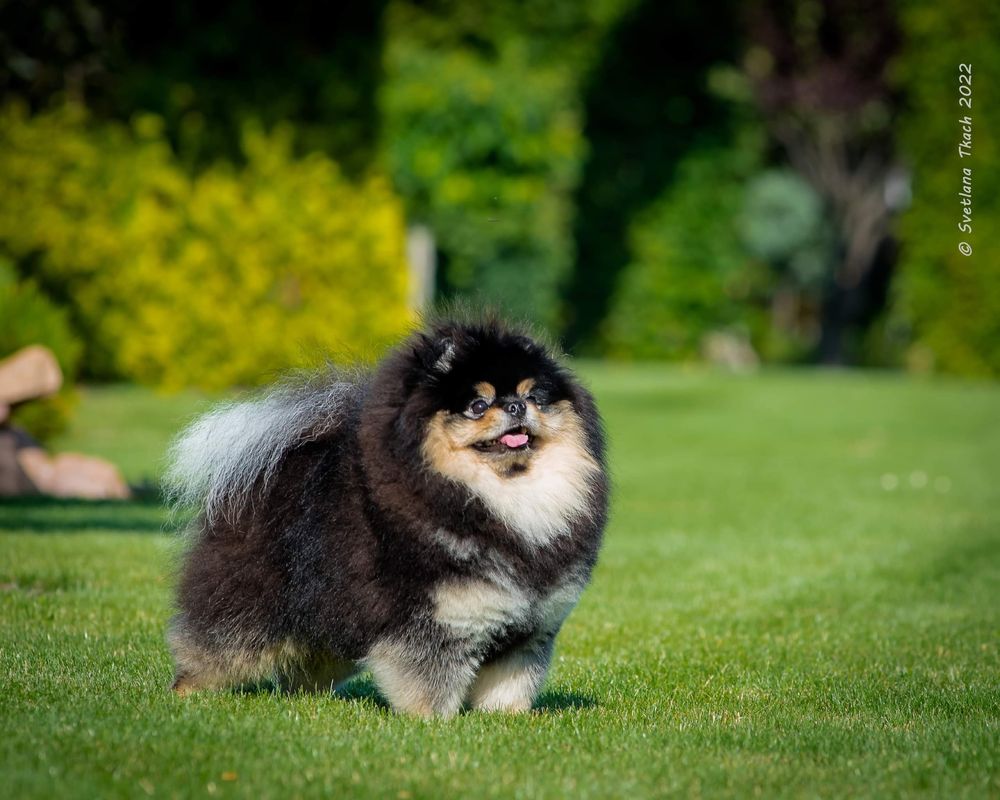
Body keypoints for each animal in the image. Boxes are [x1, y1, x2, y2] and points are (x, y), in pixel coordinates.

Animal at [166, 318, 608, 720]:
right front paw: (431, 722)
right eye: (478, 406)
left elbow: (512, 685)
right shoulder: (432, 623)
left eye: (533, 397)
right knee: (214, 646)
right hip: (248, 603)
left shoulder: (527, 632)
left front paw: (508, 719)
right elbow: (428, 681)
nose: (516, 407)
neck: (505, 500)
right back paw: (185, 693)